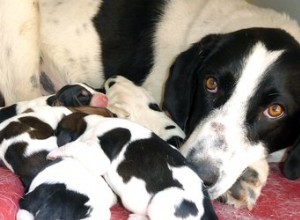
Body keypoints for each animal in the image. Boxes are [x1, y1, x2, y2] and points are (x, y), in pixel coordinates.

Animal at [48, 113, 217, 220]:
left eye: (57, 131)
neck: (92, 124)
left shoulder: (99, 157)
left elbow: (72, 146)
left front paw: (55, 153)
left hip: (163, 199)